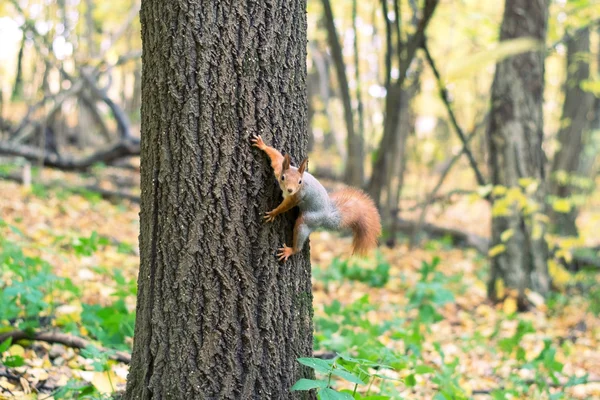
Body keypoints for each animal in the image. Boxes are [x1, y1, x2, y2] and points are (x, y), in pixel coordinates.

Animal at [251, 135, 382, 262]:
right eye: (283, 177)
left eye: (300, 182)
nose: (290, 190)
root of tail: (326, 215)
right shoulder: (279, 169)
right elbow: (277, 157)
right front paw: (262, 145)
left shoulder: (297, 196)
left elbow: (286, 206)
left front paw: (273, 213)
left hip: (308, 220)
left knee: (300, 232)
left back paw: (291, 250)